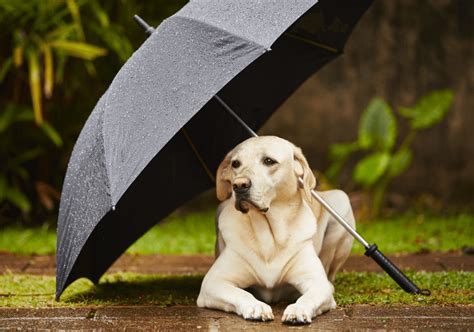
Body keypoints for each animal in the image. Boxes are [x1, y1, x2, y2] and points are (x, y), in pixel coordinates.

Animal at [196, 136, 356, 324]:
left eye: (269, 161)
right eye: (235, 163)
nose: (239, 185)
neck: (269, 236)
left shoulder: (317, 282)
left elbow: (309, 296)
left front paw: (298, 309)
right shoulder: (213, 282)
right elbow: (241, 293)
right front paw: (256, 306)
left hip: (342, 201)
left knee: (330, 276)